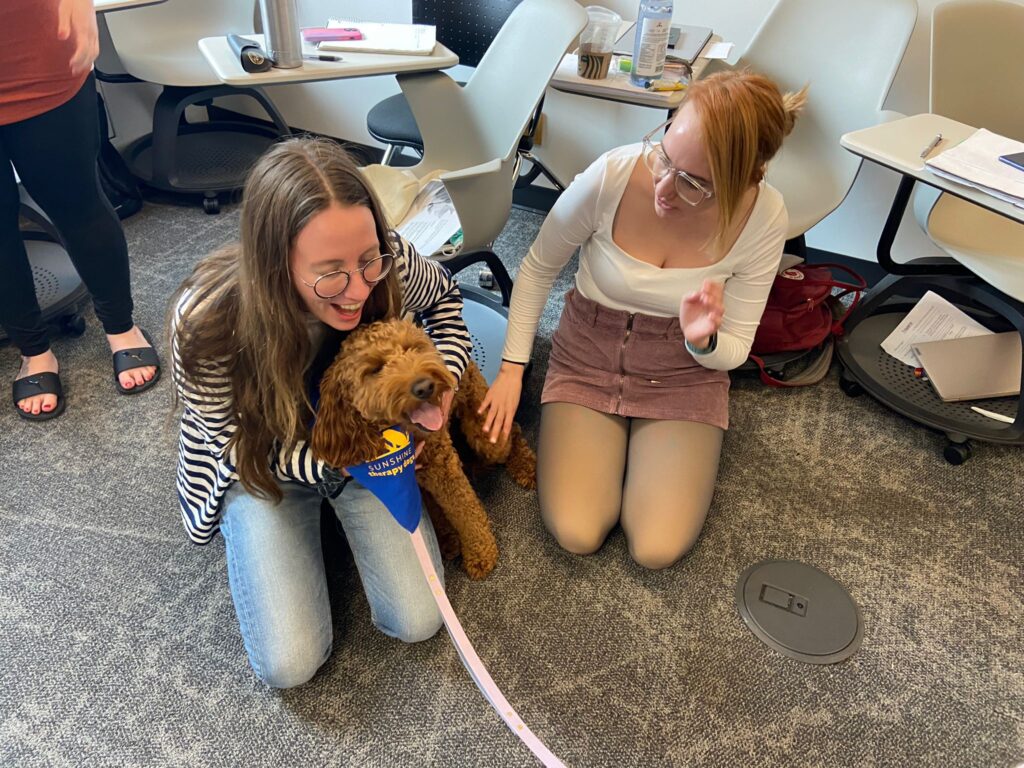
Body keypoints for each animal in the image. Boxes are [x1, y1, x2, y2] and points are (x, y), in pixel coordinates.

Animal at [309, 317, 536, 577]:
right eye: (374, 369)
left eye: (412, 348)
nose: (424, 386)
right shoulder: (419, 480)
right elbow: (435, 511)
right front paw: (447, 538)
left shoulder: (443, 469)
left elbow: (465, 512)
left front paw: (480, 553)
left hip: (487, 431)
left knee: (512, 431)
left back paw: (526, 467)